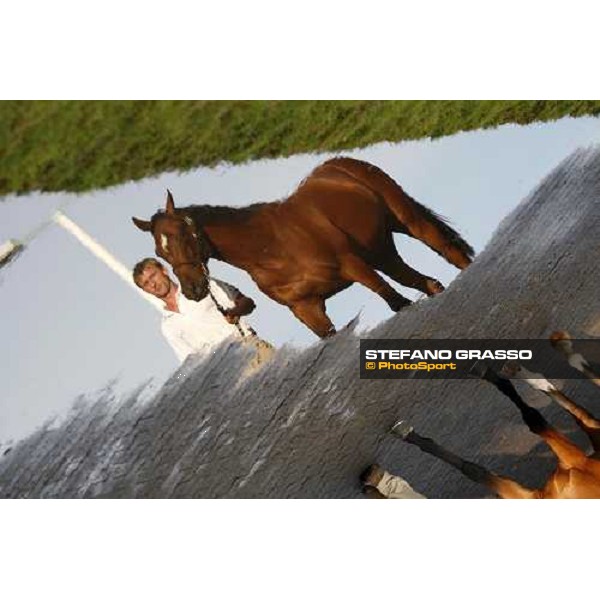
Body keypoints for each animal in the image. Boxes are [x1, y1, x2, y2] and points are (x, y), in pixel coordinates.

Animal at [131, 157, 474, 338]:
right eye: (161, 253)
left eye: (181, 235)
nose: (192, 290)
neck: (272, 249)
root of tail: (340, 166)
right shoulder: (307, 309)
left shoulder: (355, 267)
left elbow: (397, 303)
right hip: (380, 251)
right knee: (422, 281)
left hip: (405, 222)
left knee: (446, 251)